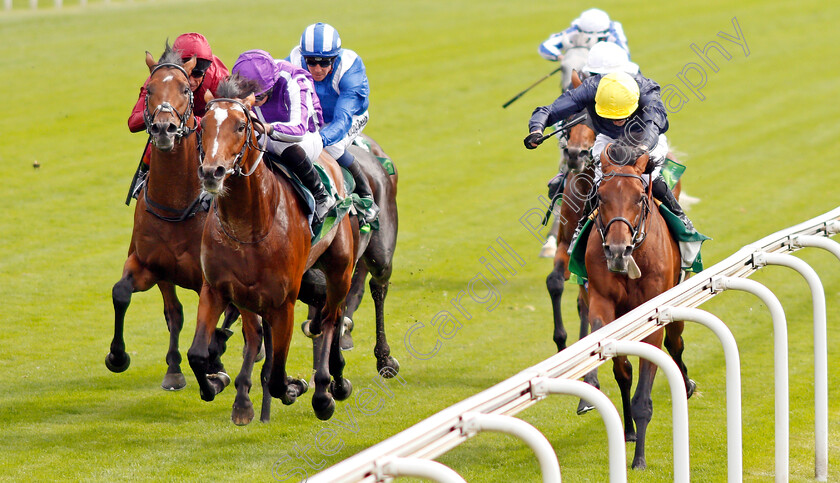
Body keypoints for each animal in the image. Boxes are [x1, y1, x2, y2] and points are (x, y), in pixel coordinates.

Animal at [106, 45, 236, 392]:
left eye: (185, 89)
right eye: (148, 89)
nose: (164, 128)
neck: (177, 205)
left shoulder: (210, 279)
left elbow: (214, 322)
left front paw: (214, 368)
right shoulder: (150, 264)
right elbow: (123, 294)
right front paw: (118, 357)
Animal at [190, 80, 358, 428]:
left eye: (240, 126)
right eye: (202, 126)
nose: (212, 172)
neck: (248, 226)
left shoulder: (284, 303)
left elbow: (279, 376)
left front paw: (297, 387)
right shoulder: (216, 289)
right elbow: (198, 354)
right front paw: (213, 384)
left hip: (339, 269)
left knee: (331, 318)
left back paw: (328, 389)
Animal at [584, 143, 696, 468]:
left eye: (639, 197)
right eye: (601, 196)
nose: (618, 251)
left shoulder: (654, 316)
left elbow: (643, 396)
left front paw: (639, 460)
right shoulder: (602, 303)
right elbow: (617, 365)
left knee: (676, 344)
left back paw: (686, 384)